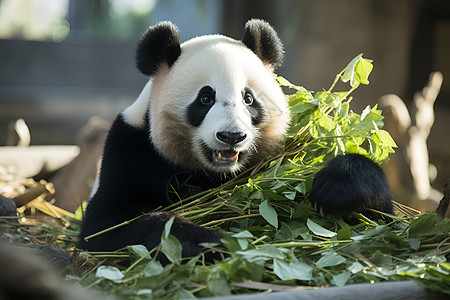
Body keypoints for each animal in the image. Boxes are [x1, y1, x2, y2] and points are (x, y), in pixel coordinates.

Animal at [78, 19, 394, 258]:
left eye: (248, 99)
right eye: (205, 98)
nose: (232, 136)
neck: (215, 174)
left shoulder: (277, 155)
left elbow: (383, 220)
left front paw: (337, 187)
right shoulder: (130, 150)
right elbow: (107, 226)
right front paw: (218, 242)